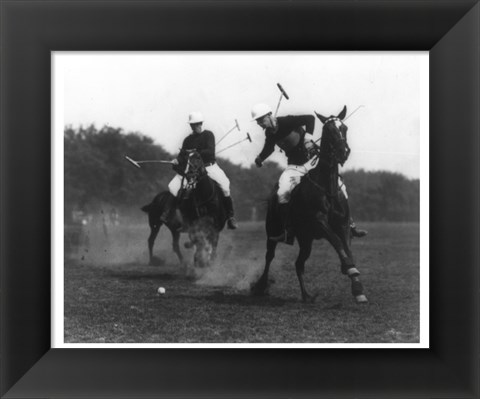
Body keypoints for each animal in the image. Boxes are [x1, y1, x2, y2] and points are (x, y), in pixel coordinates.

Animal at [251, 106, 368, 304]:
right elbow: (337, 242)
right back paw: (260, 286)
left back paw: (307, 295)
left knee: (299, 264)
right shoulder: (319, 221)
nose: (343, 151)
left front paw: (357, 288)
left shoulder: (343, 223)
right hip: (273, 231)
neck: (327, 187)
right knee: (269, 256)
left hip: (306, 238)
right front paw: (349, 268)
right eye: (329, 130)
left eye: (344, 127)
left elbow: (347, 247)